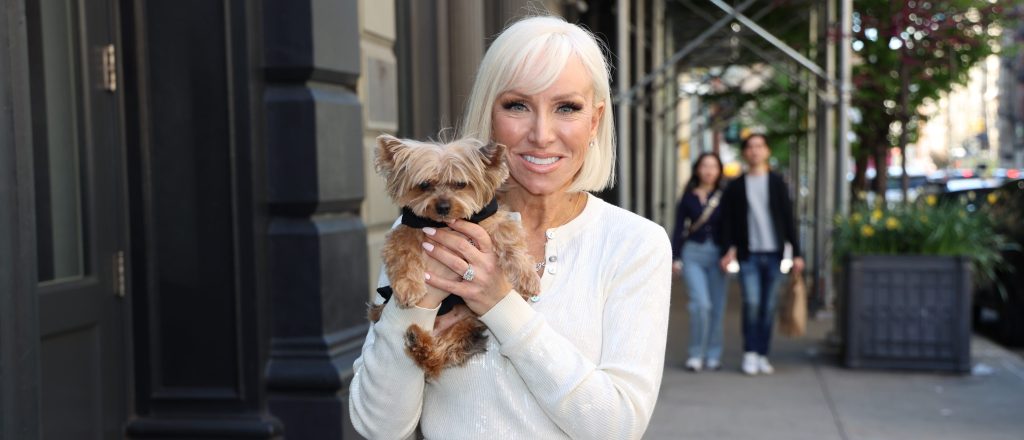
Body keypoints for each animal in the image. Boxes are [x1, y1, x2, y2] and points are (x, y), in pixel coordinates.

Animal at [370, 134, 544, 378]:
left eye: (461, 184)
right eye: (424, 185)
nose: (443, 206)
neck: (445, 224)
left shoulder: (491, 220)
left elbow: (509, 239)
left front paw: (527, 278)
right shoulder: (406, 230)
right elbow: (403, 253)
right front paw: (409, 288)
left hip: (466, 323)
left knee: (445, 352)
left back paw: (420, 345)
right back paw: (417, 341)